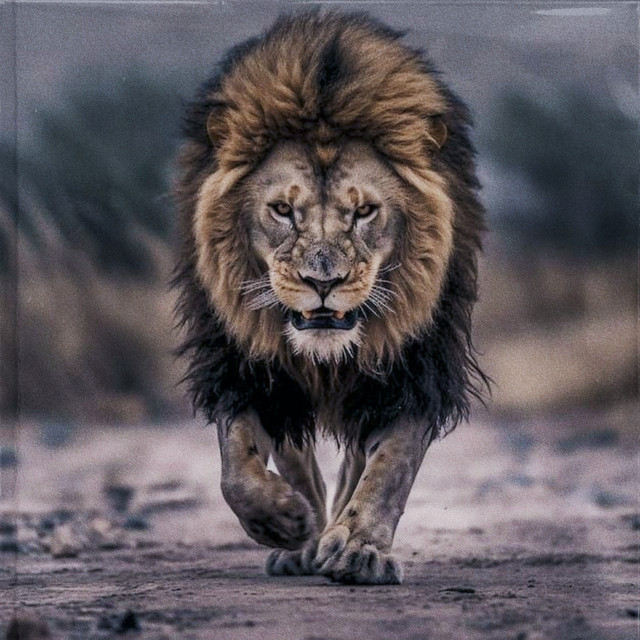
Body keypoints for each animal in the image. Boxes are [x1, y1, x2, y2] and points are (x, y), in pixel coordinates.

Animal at [173, 11, 487, 584]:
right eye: (281, 209)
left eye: (364, 211)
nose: (324, 282)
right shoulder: (243, 365)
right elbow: (237, 464)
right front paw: (280, 520)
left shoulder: (414, 369)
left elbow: (390, 465)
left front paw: (360, 548)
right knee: (296, 456)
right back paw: (304, 537)